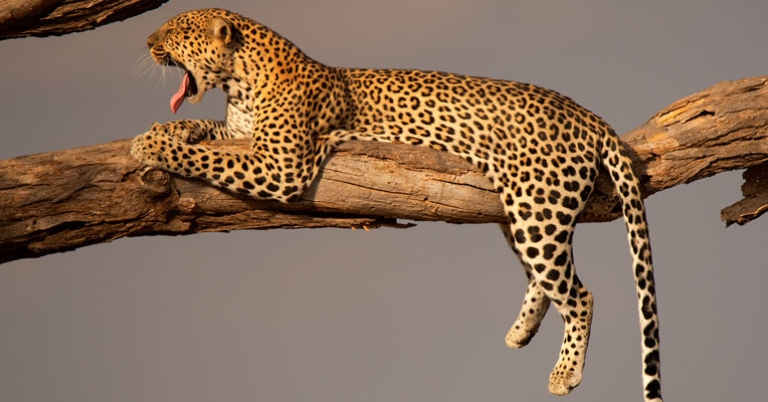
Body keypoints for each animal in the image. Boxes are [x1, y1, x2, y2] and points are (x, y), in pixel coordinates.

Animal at [130, 8, 661, 401]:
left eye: (175, 31)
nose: (147, 41)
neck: (239, 82)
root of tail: (588, 114)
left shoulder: (282, 167)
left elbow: (208, 158)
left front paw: (152, 147)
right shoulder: (244, 137)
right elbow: (205, 134)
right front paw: (161, 130)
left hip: (538, 207)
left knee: (579, 294)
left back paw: (565, 373)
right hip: (518, 209)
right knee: (549, 278)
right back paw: (520, 330)